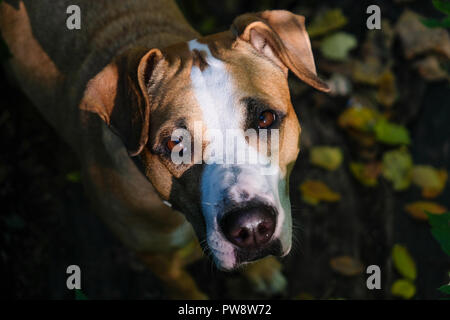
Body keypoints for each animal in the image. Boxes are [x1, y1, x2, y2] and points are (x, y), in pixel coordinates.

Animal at [1, 0, 328, 300]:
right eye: (176, 144)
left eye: (265, 118)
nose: (251, 226)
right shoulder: (154, 257)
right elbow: (183, 287)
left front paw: (263, 272)